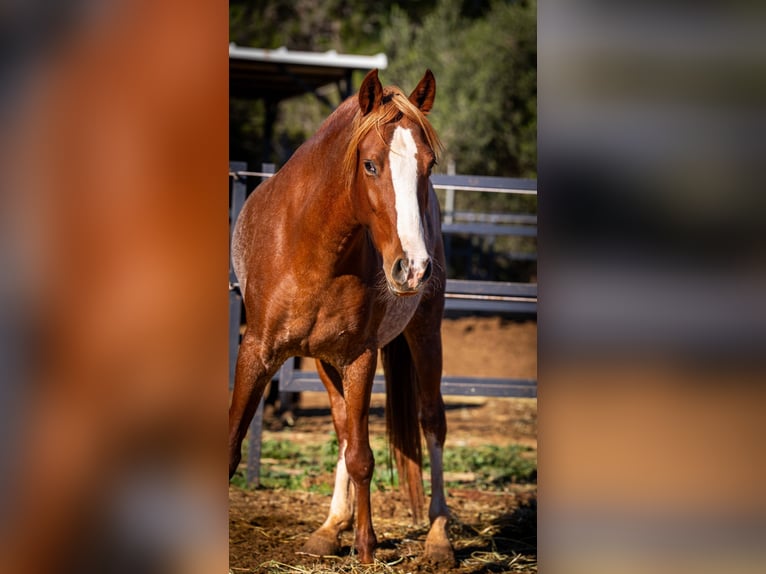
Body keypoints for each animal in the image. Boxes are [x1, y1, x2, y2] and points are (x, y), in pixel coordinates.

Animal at [228, 68, 456, 568]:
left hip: (425, 332)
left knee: (432, 421)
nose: (413, 268)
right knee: (342, 428)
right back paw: (331, 526)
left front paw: (367, 549)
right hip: (322, 359)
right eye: (370, 165)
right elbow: (233, 444)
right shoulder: (256, 352)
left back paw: (438, 537)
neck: (309, 246)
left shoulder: (360, 357)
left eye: (429, 166)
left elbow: (363, 458)